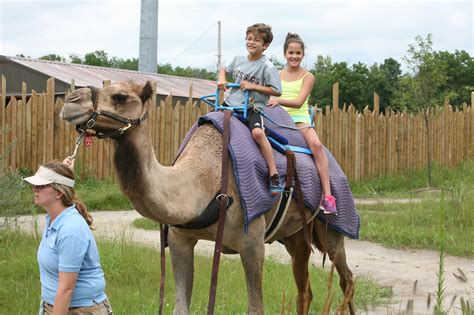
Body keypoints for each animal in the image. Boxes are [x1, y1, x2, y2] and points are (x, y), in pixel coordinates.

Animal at [61, 81, 354, 314]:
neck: (202, 182)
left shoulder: (253, 244)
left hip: (331, 228)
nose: (70, 101)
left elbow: (256, 308)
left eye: (120, 97)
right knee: (305, 290)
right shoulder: (180, 239)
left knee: (346, 279)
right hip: (294, 236)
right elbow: (181, 307)